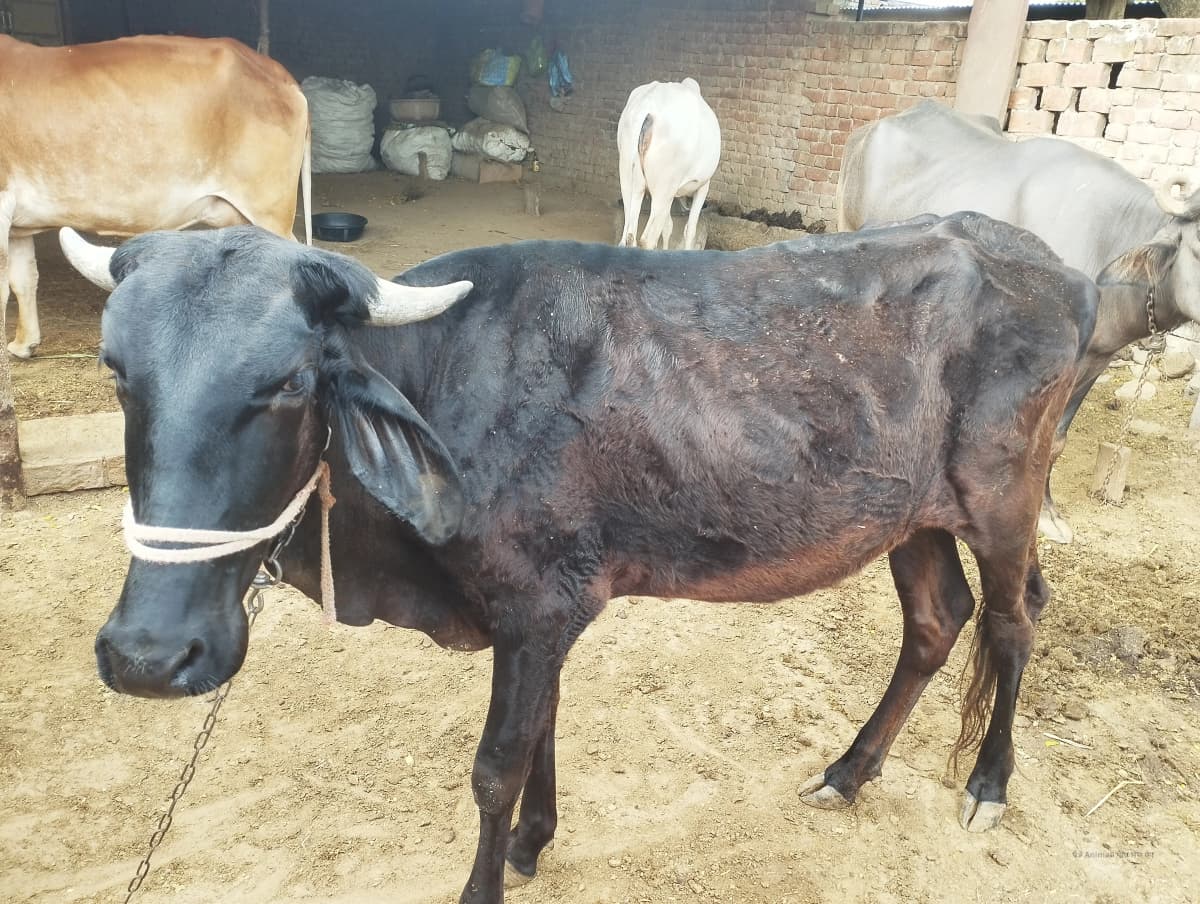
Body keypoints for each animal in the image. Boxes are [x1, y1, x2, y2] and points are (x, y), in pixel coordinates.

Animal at [60, 213, 1096, 904]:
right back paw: (846, 773)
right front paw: (533, 843)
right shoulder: (546, 614)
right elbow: (543, 734)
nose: (150, 656)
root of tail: (1052, 265)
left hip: (1003, 503)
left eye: (286, 382)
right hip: (909, 517)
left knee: (1014, 623)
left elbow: (495, 765)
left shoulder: (537, 605)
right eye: (118, 371)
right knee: (936, 622)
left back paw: (988, 785)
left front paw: (489, 877)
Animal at [617, 78, 720, 251]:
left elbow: (668, 227)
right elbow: (690, 229)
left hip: (628, 176)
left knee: (628, 235)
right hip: (664, 187)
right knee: (647, 239)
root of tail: (647, 109)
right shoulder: (703, 186)